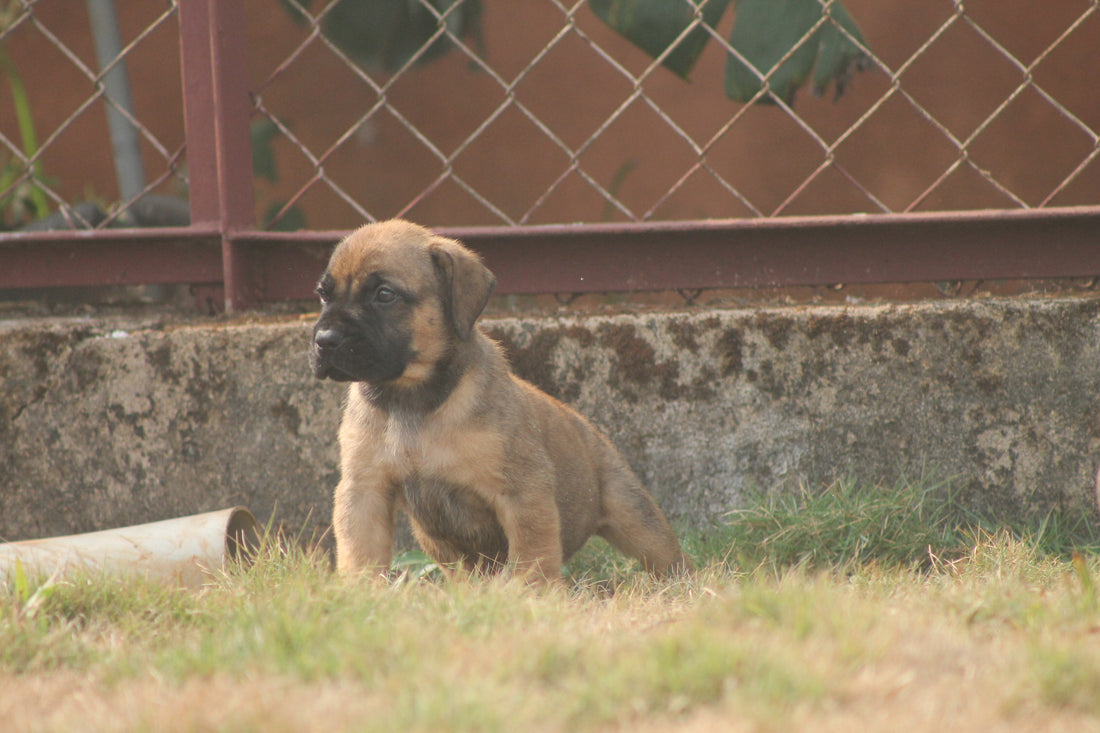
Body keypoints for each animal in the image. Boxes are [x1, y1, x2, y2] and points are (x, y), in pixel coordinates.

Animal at [308, 217, 686, 581]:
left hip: (635, 517)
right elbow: (360, 554)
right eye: (323, 294)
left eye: (384, 294)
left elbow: (533, 557)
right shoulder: (364, 492)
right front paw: (359, 588)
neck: (412, 396)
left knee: (665, 555)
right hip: (436, 542)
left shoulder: (522, 493)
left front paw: (532, 593)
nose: (324, 340)